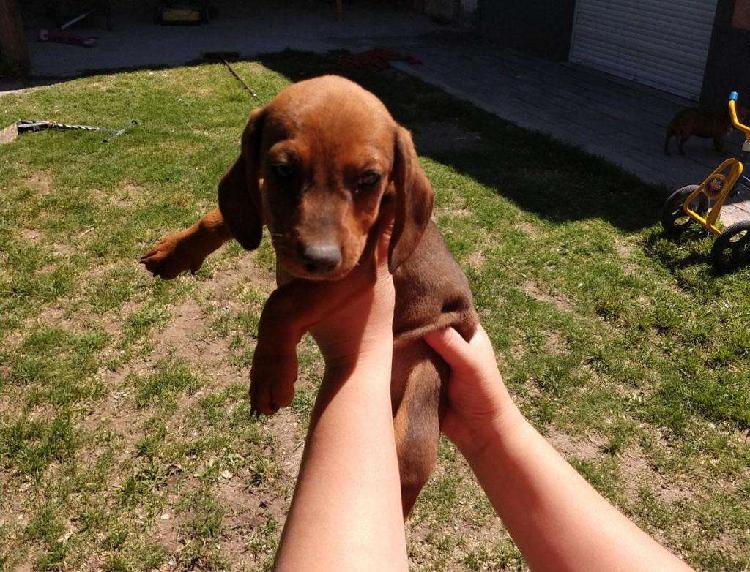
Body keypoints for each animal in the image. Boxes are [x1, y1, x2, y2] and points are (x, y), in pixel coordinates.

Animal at [144, 76, 478, 512]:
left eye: (370, 179)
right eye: (283, 169)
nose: (320, 261)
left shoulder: (354, 270)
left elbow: (280, 303)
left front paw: (271, 376)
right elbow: (219, 218)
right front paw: (174, 251)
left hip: (418, 411)